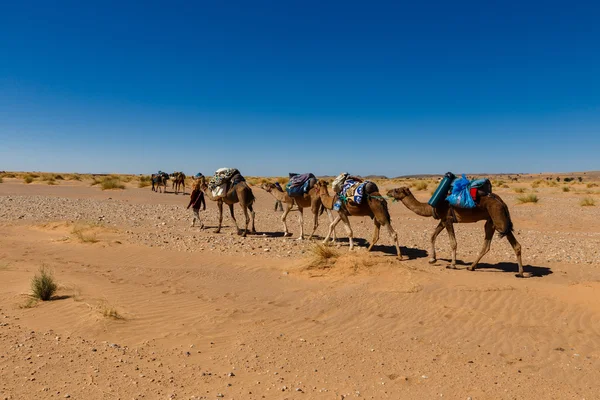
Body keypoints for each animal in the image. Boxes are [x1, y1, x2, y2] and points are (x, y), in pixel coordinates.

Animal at [386, 186, 528, 276]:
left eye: (397, 190)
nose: (388, 192)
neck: (431, 207)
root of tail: (502, 202)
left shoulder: (448, 219)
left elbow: (453, 242)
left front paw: (452, 265)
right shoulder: (443, 220)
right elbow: (432, 236)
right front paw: (432, 259)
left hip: (498, 218)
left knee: (513, 243)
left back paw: (520, 273)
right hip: (491, 221)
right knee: (490, 245)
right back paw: (471, 267)